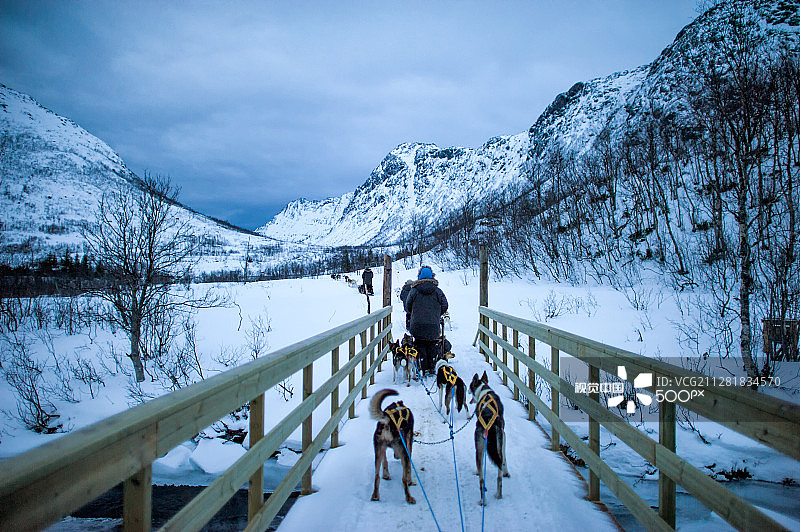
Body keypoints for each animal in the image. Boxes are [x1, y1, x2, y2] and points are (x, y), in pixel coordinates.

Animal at [470, 371, 510, 505]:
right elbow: (504, 460)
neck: (484, 391)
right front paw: (506, 471)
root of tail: (488, 421)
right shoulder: (503, 437)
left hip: (479, 448)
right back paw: (498, 495)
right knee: (499, 476)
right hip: (499, 442)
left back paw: (483, 500)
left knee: (482, 480)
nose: (468, 390)